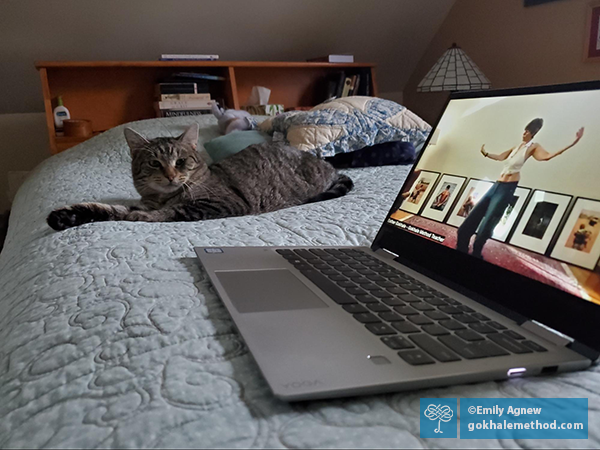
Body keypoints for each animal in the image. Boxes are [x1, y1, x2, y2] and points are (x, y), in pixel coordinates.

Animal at [48, 123, 356, 230]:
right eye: (154, 163)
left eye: (180, 161)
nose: (171, 175)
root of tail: (328, 165)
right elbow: (110, 209)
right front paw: (66, 216)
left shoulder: (221, 203)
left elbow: (163, 214)